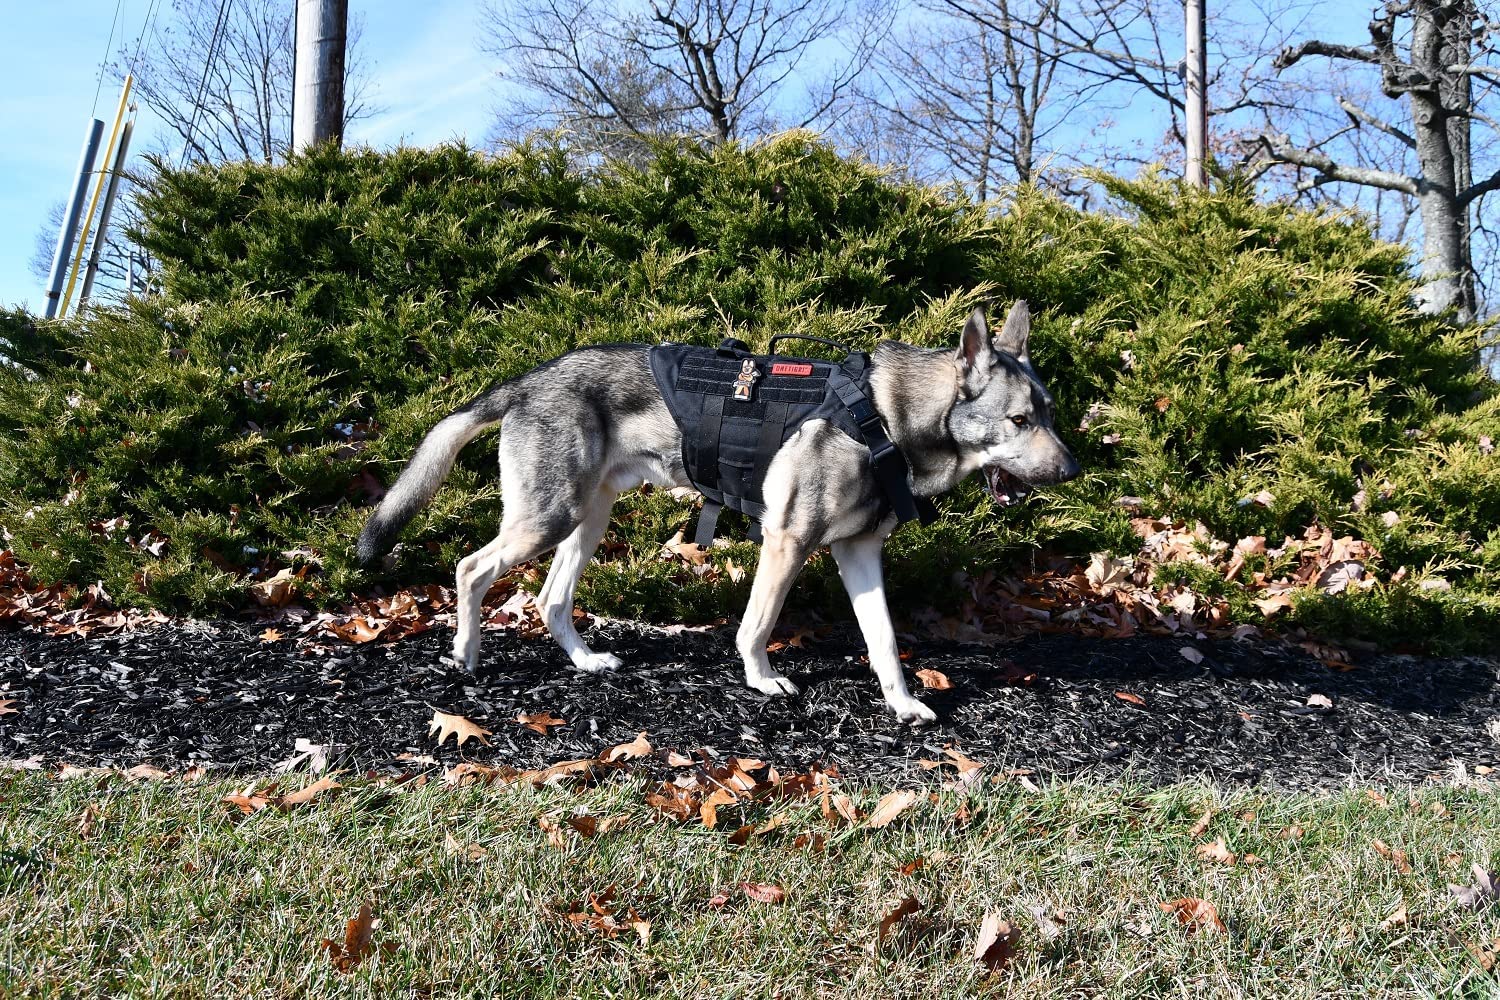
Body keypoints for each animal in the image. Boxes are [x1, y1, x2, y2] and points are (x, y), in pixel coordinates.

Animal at [354, 301, 1080, 722]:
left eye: (1048, 414)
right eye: (1020, 420)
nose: (1074, 471)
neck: (887, 419)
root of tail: (526, 379)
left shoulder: (858, 555)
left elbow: (884, 642)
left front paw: (901, 702)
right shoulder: (787, 542)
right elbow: (756, 627)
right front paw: (761, 680)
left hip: (587, 522)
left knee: (550, 600)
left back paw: (585, 662)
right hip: (548, 521)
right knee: (470, 569)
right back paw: (466, 653)